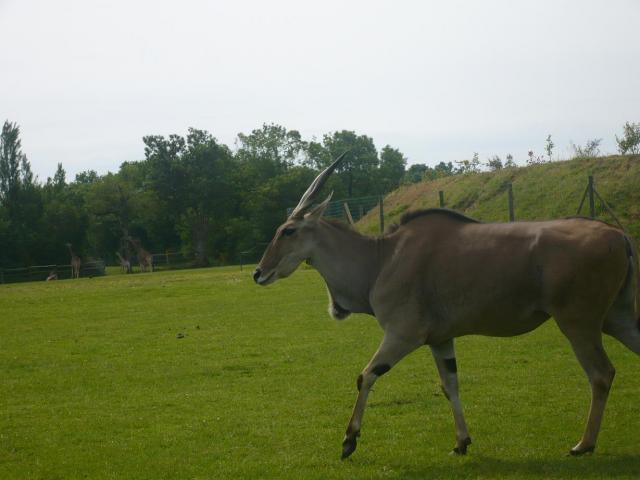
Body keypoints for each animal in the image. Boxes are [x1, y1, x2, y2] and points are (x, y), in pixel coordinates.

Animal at [255, 154, 640, 458]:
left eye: (288, 231)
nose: (259, 273)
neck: (380, 258)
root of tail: (618, 235)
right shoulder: (440, 340)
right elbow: (449, 384)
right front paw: (461, 442)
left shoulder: (403, 335)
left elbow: (366, 375)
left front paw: (349, 441)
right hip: (616, 320)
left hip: (579, 323)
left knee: (601, 374)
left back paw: (583, 444)